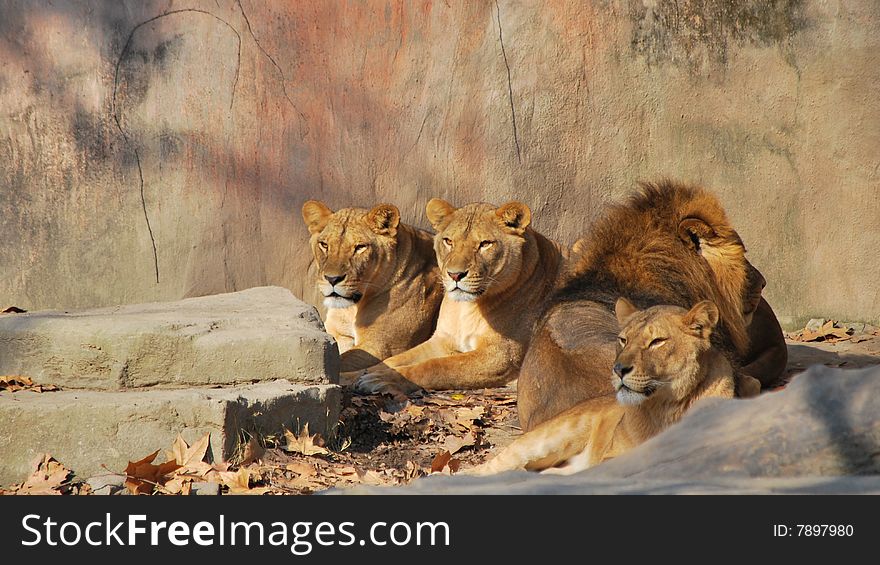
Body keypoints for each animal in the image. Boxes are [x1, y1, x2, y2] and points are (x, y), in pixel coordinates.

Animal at [300, 199, 444, 374]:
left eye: (360, 247)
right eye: (324, 245)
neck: (352, 308)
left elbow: (340, 362)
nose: (332, 279)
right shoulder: (338, 334)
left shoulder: (380, 347)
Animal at [348, 200, 568, 394]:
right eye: (448, 241)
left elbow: (436, 367)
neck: (467, 308)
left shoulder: (500, 356)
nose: (455, 275)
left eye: (485, 244)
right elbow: (390, 361)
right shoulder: (442, 341)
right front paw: (352, 376)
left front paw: (384, 379)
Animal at [470, 298, 740, 474]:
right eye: (623, 340)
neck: (669, 406)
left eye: (657, 341)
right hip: (551, 436)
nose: (619, 369)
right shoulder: (612, 455)